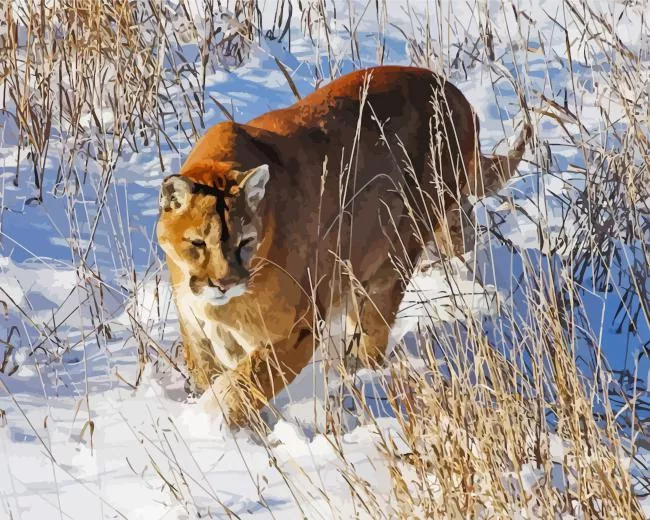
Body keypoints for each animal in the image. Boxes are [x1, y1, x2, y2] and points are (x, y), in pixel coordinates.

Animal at [156, 65, 531, 427]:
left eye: (245, 242)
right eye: (197, 242)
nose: (224, 284)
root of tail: (452, 91)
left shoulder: (298, 329)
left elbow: (244, 384)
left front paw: (211, 423)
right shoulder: (197, 334)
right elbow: (215, 377)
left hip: (393, 255)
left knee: (373, 331)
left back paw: (358, 375)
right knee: (462, 233)